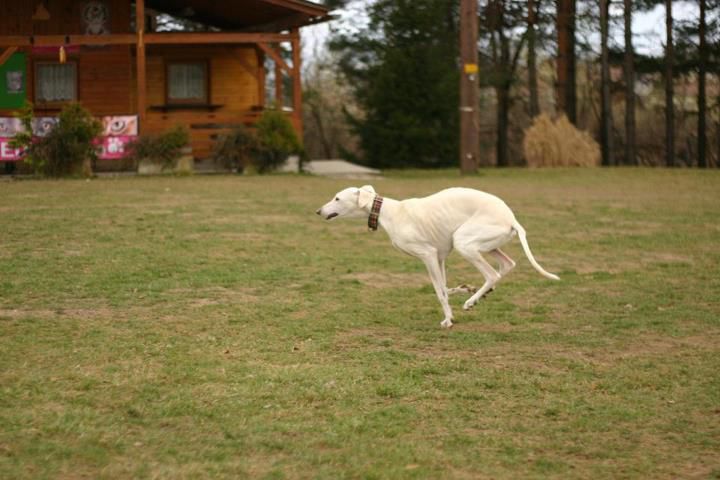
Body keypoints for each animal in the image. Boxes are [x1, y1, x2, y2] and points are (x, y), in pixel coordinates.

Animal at [316, 186, 564, 328]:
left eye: (337, 198)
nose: (318, 211)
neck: (389, 212)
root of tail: (511, 218)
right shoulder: (440, 257)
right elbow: (444, 288)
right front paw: (461, 293)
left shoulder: (428, 255)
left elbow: (439, 292)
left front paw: (448, 320)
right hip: (486, 245)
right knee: (507, 265)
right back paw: (479, 294)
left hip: (464, 242)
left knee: (492, 274)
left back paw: (471, 301)